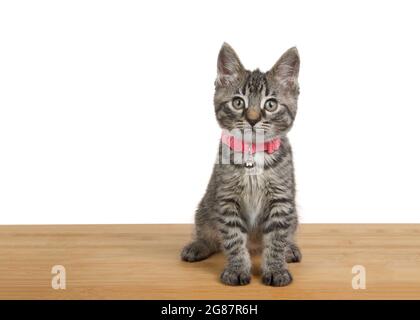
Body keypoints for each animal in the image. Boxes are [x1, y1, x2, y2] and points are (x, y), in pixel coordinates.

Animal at [181, 43, 302, 288]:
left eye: (271, 104)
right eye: (238, 102)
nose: (253, 119)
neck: (253, 154)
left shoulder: (282, 200)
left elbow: (277, 238)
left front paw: (276, 268)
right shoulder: (226, 199)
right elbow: (233, 239)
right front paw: (237, 269)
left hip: (294, 213)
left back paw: (289, 249)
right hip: (206, 206)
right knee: (209, 234)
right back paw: (198, 245)